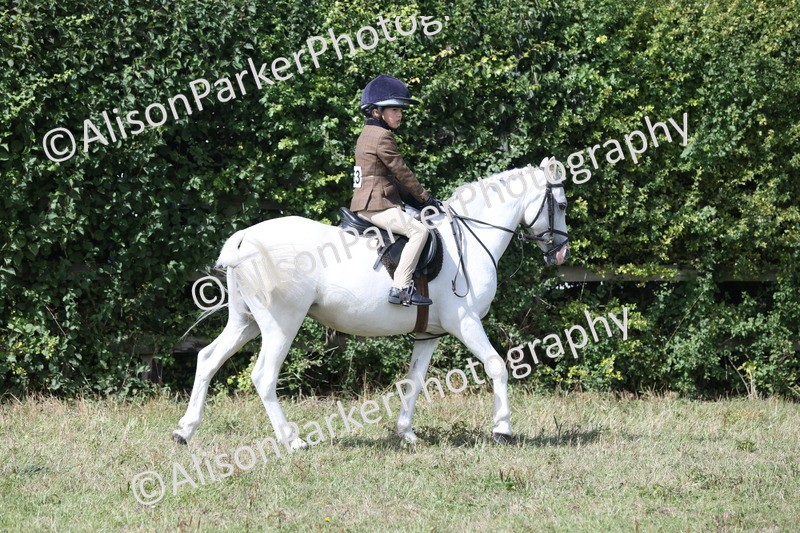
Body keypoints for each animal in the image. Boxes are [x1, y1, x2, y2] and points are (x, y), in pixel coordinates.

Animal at [173, 159, 570, 449]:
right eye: (563, 205)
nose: (562, 253)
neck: (470, 241)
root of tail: (245, 238)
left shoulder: (429, 333)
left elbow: (414, 380)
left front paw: (406, 432)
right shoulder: (466, 322)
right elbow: (497, 366)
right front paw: (502, 429)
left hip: (246, 321)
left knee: (207, 359)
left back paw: (184, 431)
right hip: (280, 324)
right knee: (264, 376)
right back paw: (292, 440)